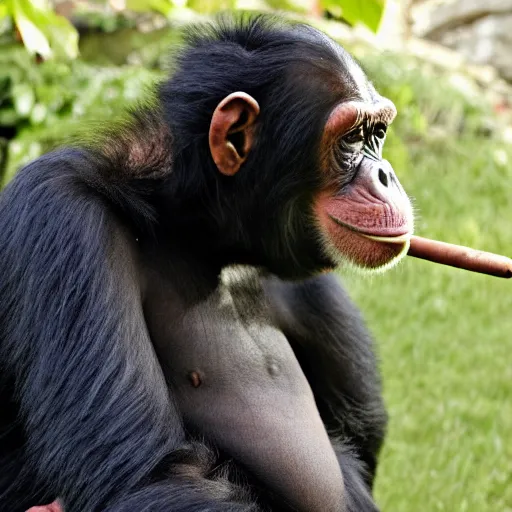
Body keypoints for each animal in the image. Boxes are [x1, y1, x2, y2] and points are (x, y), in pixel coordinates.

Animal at [0, 15, 412, 512]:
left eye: (378, 134)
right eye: (352, 138)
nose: (385, 175)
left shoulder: (314, 284)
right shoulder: (63, 215)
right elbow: (153, 477)